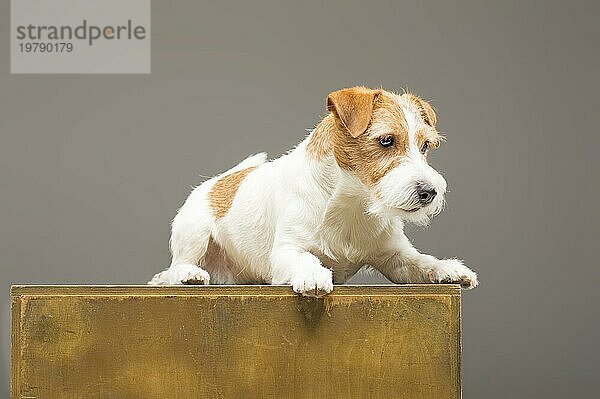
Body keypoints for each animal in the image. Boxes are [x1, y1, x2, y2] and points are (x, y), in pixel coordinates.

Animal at [149, 86, 478, 296]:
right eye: (386, 140)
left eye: (425, 146)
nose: (429, 191)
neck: (351, 203)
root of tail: (216, 181)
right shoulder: (286, 252)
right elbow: (304, 258)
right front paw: (312, 274)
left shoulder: (395, 257)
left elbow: (422, 262)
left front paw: (448, 269)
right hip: (194, 232)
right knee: (173, 268)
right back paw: (187, 275)